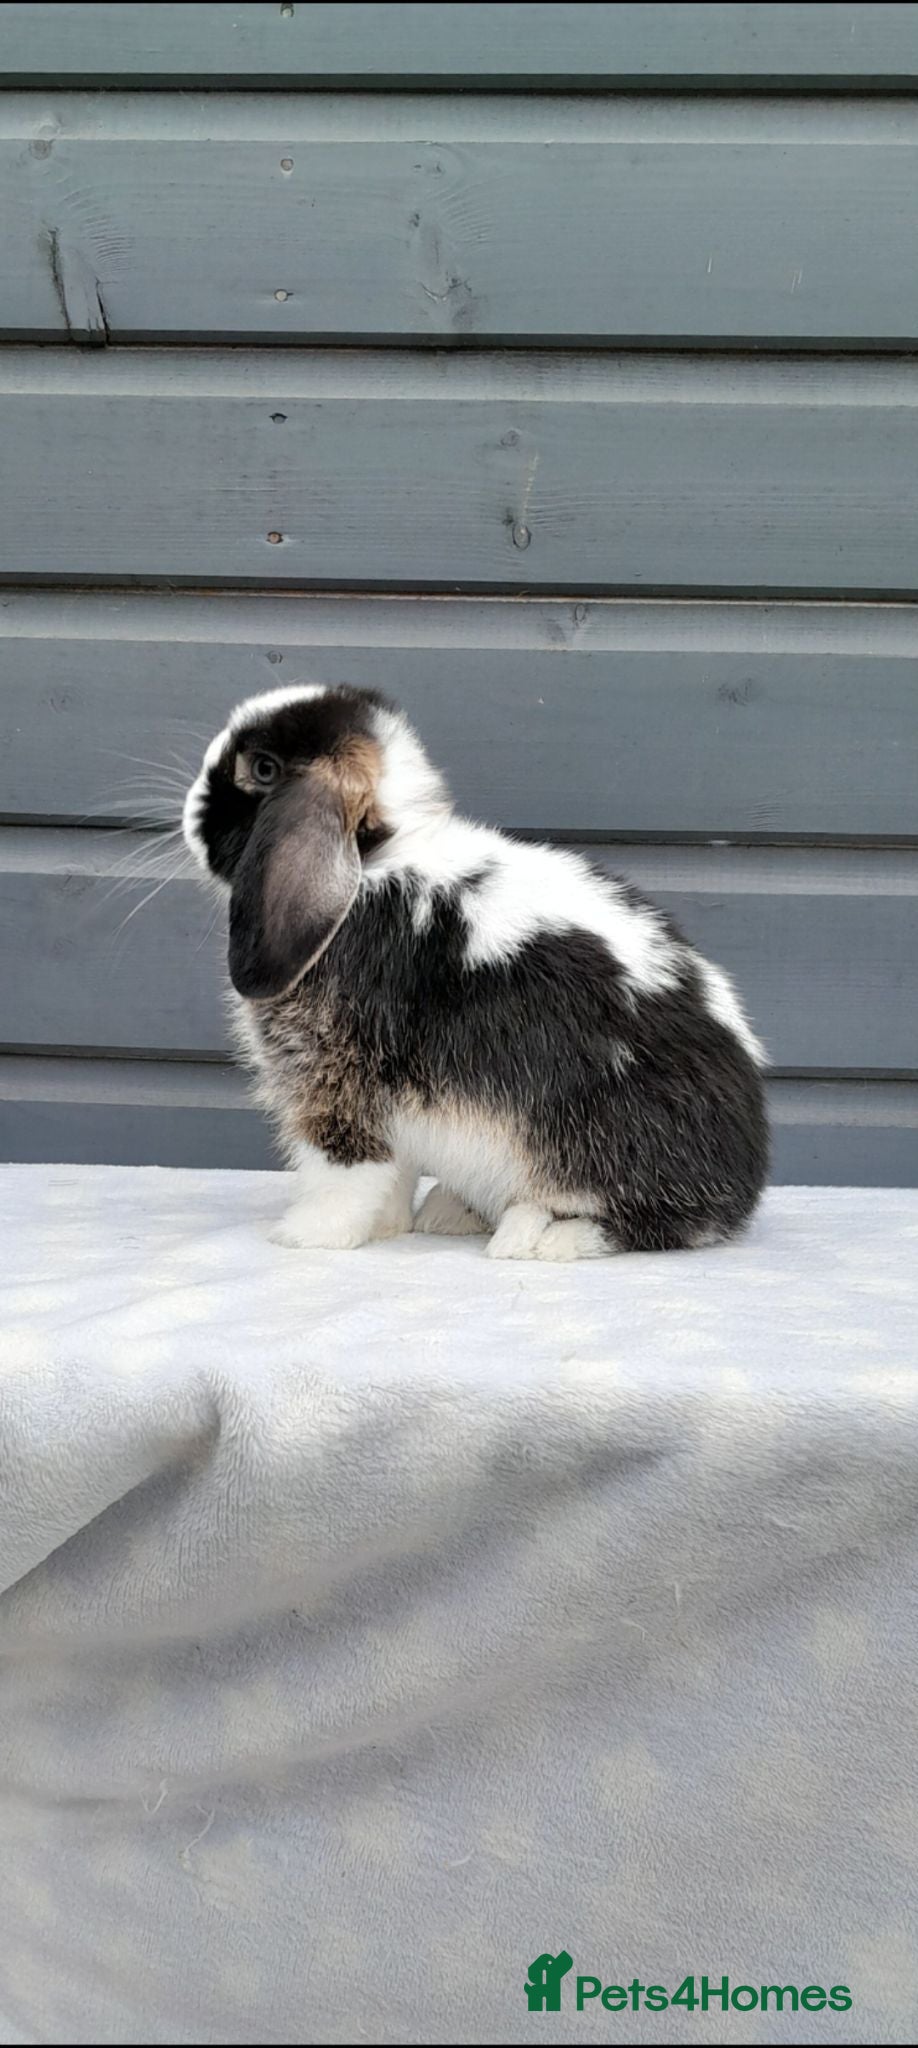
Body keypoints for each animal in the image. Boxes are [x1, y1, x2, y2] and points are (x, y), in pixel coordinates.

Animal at [183, 683, 768, 1259]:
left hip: (597, 1141)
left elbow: (344, 1171)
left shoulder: (339, 1086)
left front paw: (304, 1235)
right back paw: (452, 1212)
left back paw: (539, 1235)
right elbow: (394, 1175)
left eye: (262, 769)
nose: (189, 813)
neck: (372, 864)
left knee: (656, 1223)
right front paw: (388, 1227)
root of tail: (743, 1184)